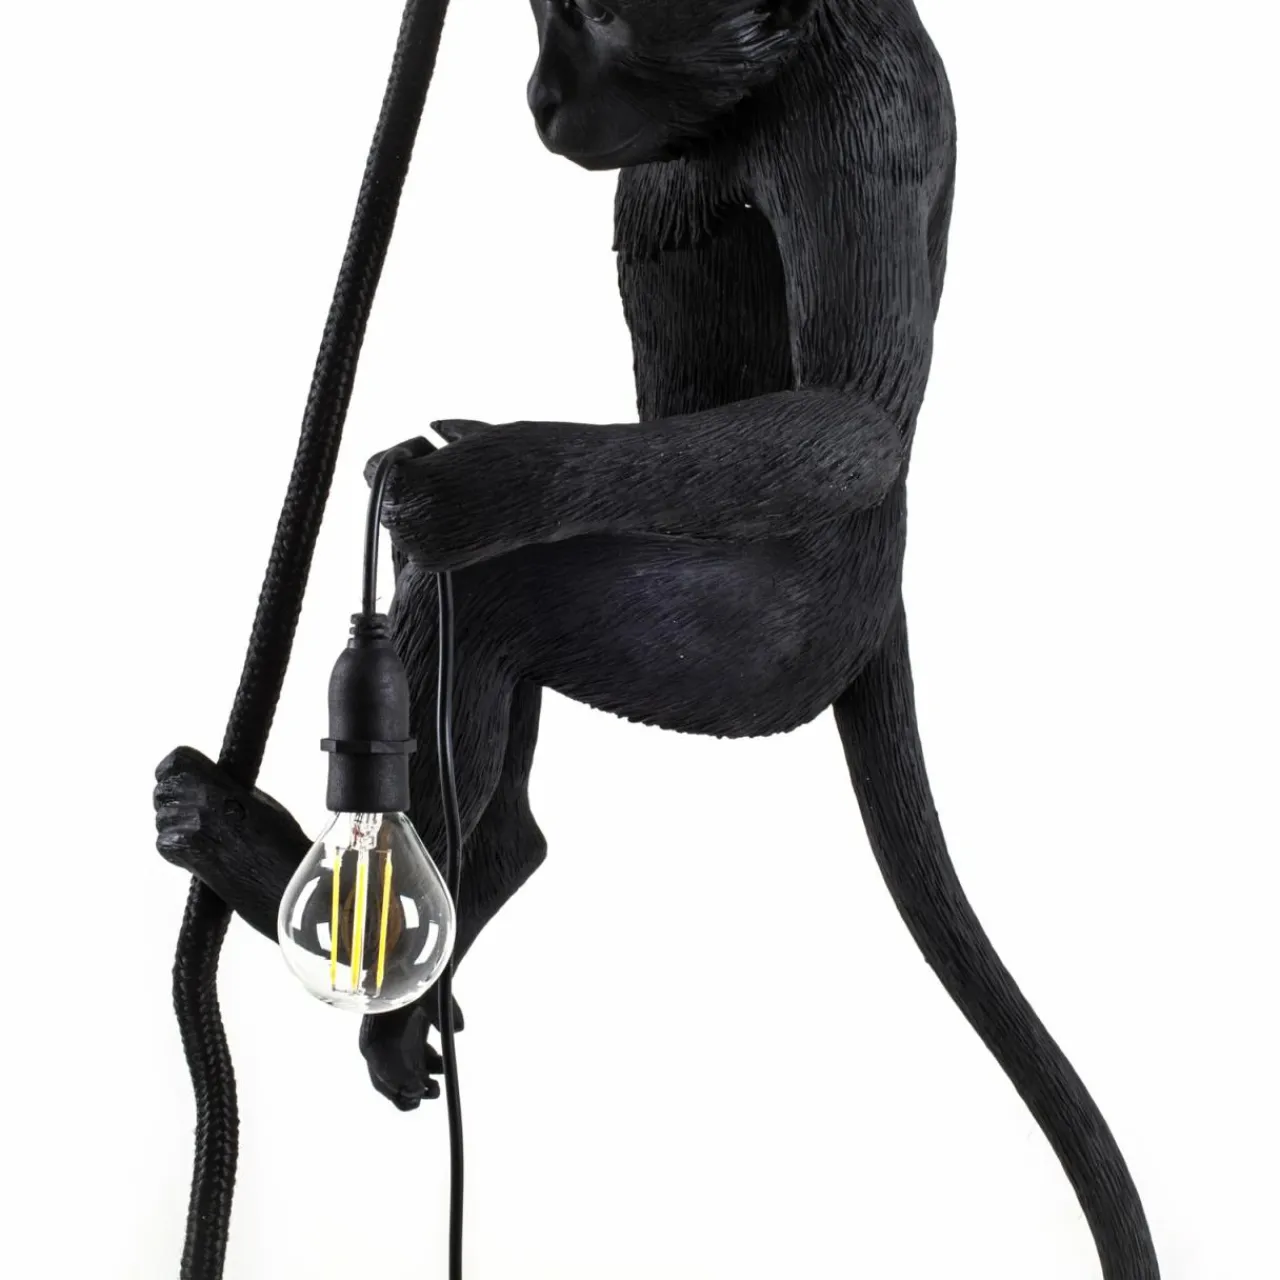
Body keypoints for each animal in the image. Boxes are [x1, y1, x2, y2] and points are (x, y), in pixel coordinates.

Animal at [153, 1, 1160, 1274]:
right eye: (542, 21)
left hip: (751, 645)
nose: (537, 97)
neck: (755, 92)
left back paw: (294, 886)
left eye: (591, 21)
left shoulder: (858, 114)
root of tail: (878, 601)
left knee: (491, 595)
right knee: (491, 737)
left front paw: (473, 477)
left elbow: (852, 415)